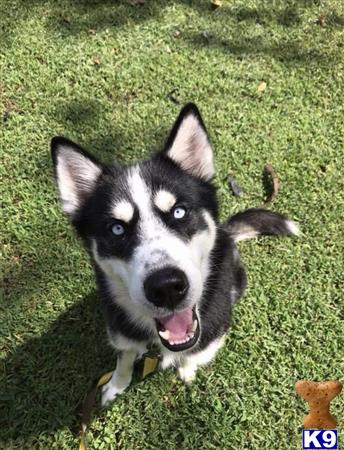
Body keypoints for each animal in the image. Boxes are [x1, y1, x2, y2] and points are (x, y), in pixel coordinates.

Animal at [51, 103, 298, 406]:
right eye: (117, 229)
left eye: (179, 212)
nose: (167, 287)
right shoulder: (122, 334)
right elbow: (123, 361)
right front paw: (115, 386)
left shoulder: (210, 335)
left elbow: (193, 355)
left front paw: (187, 369)